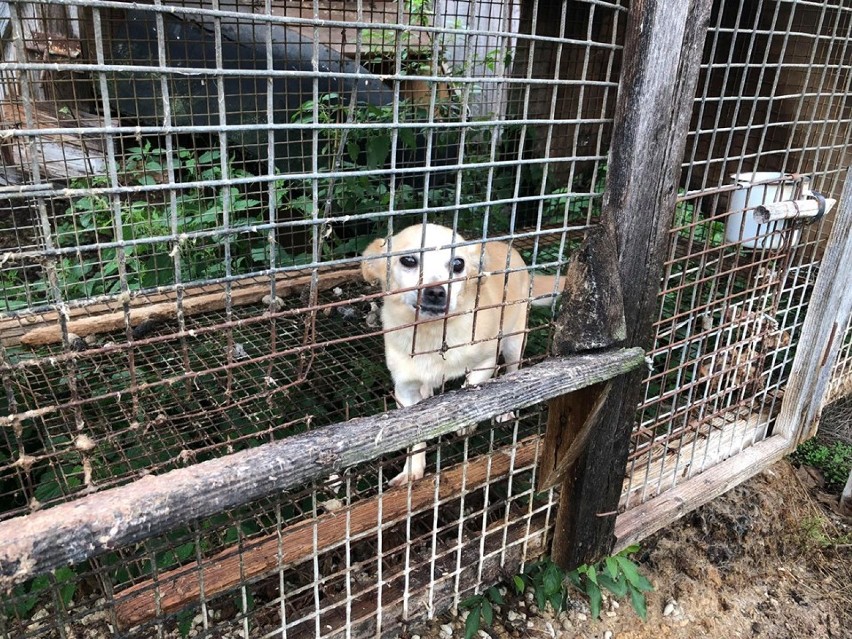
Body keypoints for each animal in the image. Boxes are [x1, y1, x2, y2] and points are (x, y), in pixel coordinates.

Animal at [362, 225, 564, 484]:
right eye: (408, 260)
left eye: (458, 264)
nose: (436, 292)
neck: (434, 335)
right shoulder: (404, 390)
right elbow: (415, 435)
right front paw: (412, 470)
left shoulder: (486, 362)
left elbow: (471, 389)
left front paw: (466, 424)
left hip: (513, 342)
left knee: (512, 373)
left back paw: (506, 411)